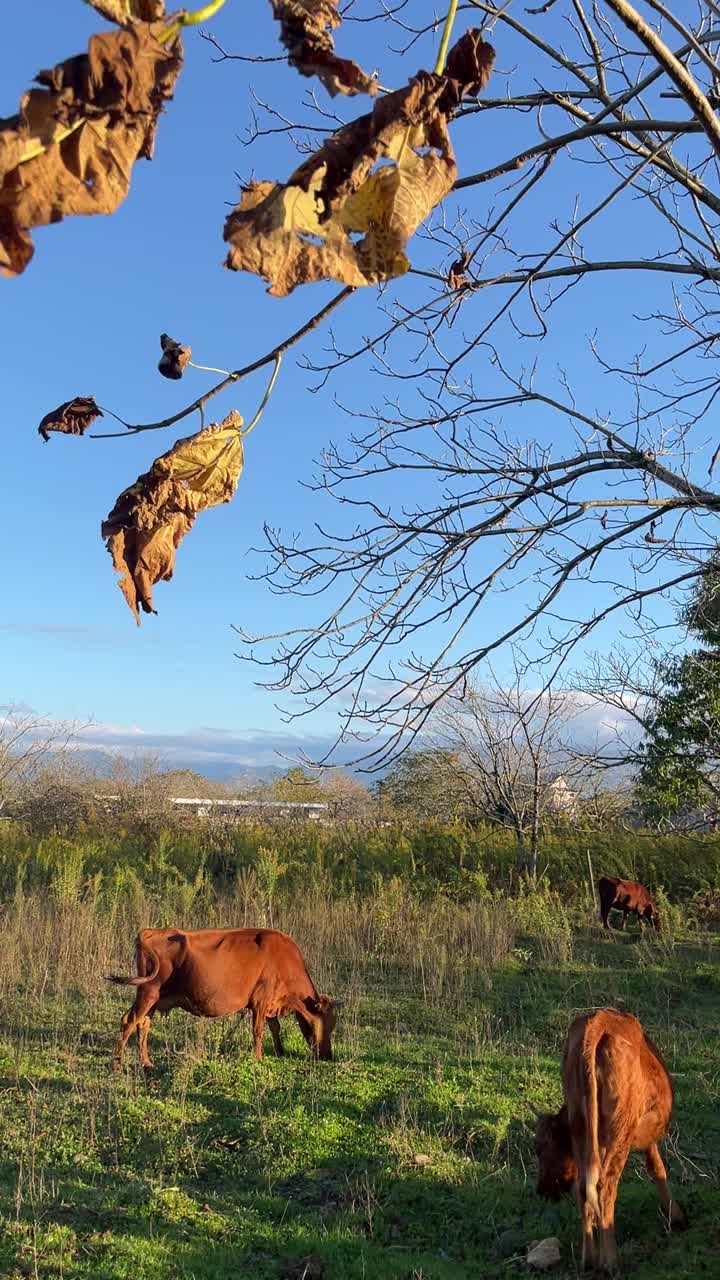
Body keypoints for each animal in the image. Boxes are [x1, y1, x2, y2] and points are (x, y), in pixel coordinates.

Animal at [106, 931, 340, 1070]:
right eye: (325, 1026)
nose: (328, 1055)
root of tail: (150, 931)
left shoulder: (270, 1003)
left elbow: (275, 1027)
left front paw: (280, 1052)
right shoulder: (261, 1000)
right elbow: (259, 1031)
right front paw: (259, 1059)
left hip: (154, 998)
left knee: (143, 1024)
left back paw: (146, 1062)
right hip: (148, 991)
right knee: (129, 1021)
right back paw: (117, 1065)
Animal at [532, 1008, 681, 1269]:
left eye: (540, 1148)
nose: (542, 1192)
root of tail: (597, 1022)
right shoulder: (644, 1137)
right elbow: (657, 1168)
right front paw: (676, 1216)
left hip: (581, 1124)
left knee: (583, 1187)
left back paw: (589, 1259)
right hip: (620, 1130)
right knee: (605, 1186)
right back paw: (610, 1261)